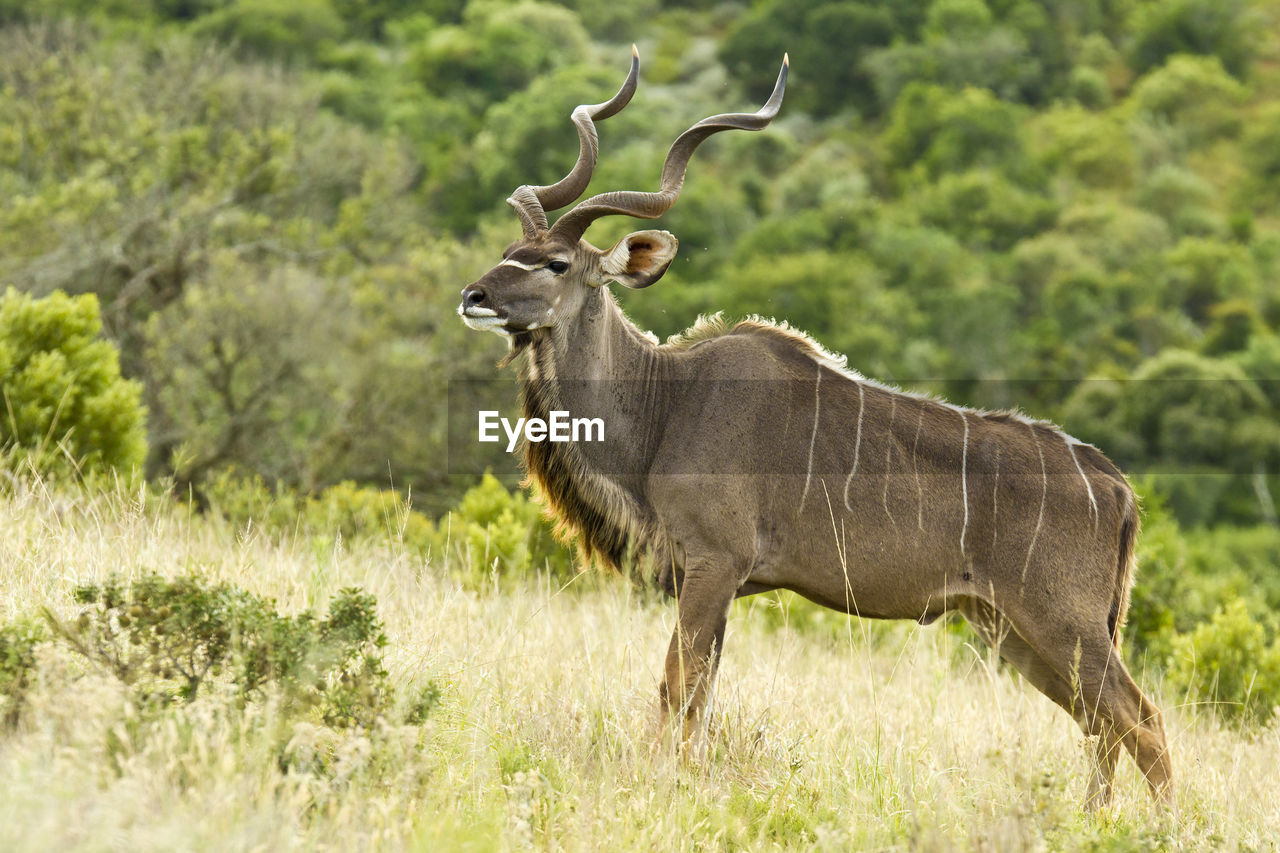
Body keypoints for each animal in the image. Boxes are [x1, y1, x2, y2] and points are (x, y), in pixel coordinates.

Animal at [458, 49, 1172, 809]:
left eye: (556, 264)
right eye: (510, 249)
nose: (474, 296)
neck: (664, 402)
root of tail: (1115, 486)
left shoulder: (713, 565)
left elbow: (677, 690)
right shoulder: (716, 583)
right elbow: (699, 694)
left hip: (1061, 623)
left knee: (1140, 720)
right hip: (1015, 630)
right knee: (1100, 727)